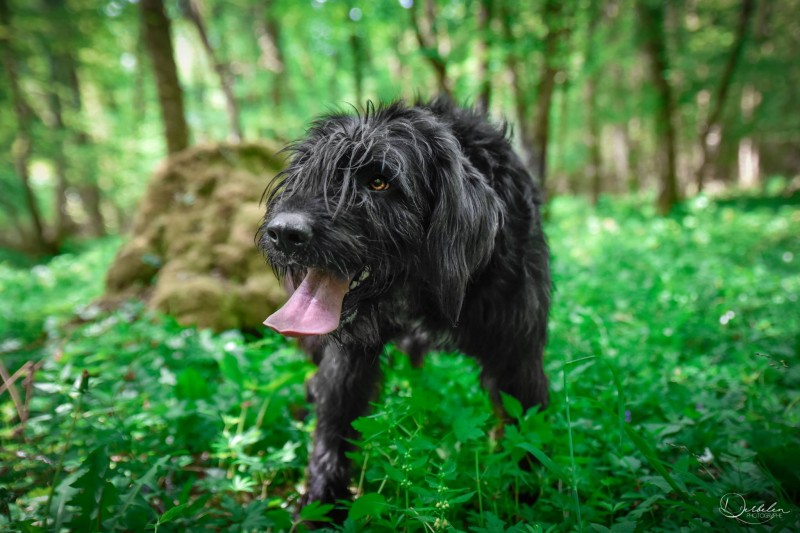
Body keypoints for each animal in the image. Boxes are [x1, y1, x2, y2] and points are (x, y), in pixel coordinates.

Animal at [256, 95, 552, 516]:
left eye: (379, 181)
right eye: (309, 173)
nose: (283, 233)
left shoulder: (518, 354)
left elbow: (525, 429)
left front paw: (527, 500)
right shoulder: (348, 358)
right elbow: (334, 424)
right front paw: (321, 505)